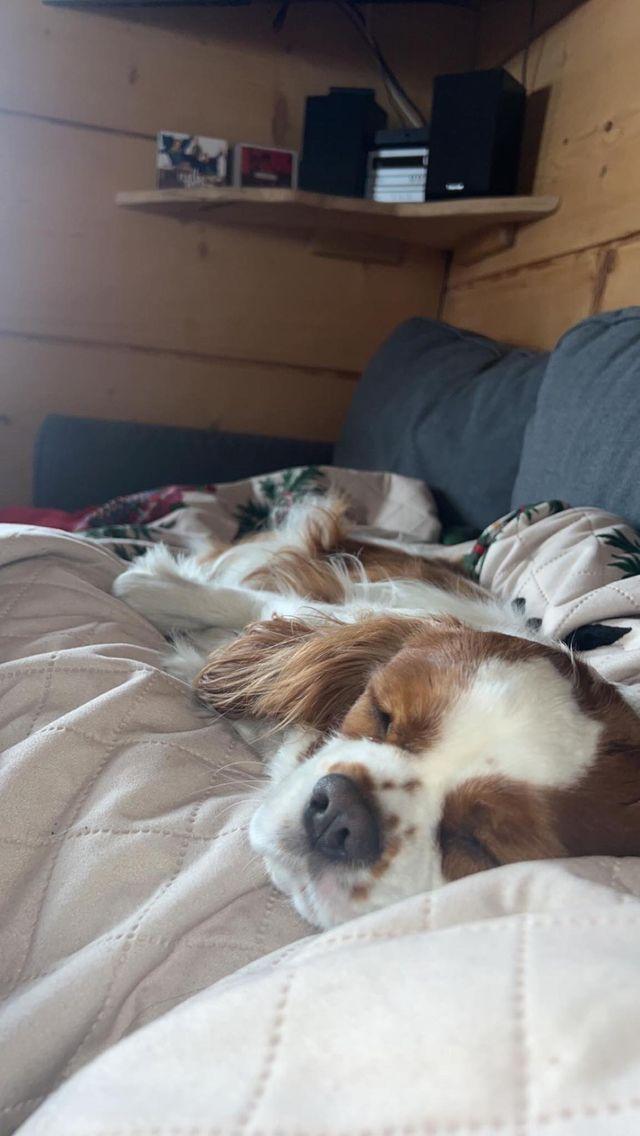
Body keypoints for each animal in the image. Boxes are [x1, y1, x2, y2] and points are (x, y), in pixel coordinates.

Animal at [114, 496, 640, 929]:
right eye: (382, 714)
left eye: (480, 844)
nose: (340, 814)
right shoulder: (361, 609)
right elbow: (257, 606)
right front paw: (149, 588)